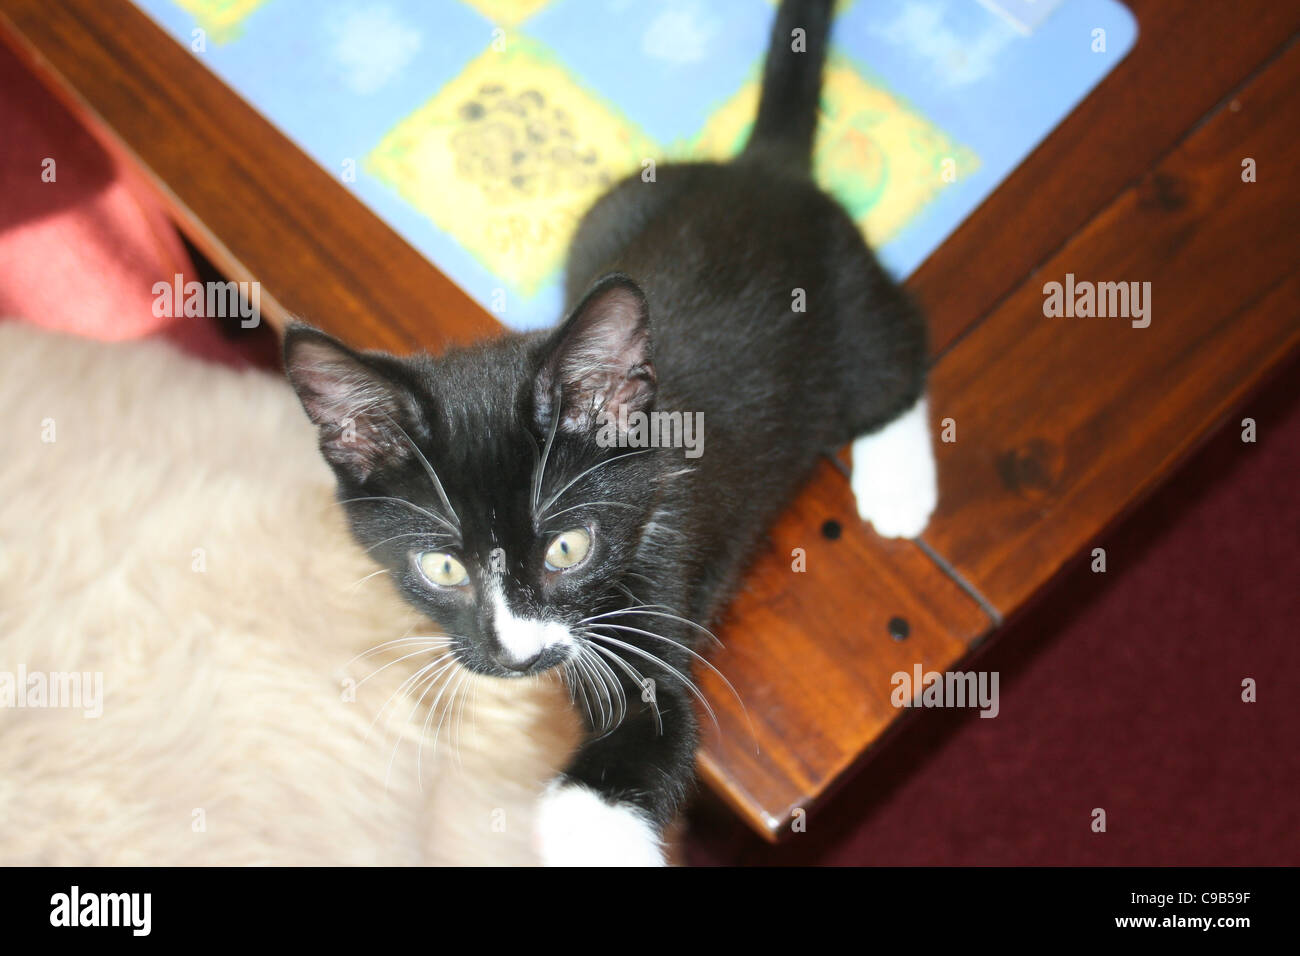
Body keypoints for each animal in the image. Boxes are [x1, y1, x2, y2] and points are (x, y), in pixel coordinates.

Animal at [284, 0, 935, 868]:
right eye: (442, 568)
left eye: (568, 548)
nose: (517, 655)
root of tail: (766, 171)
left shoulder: (663, 572)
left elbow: (651, 729)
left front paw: (589, 833)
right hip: (608, 213)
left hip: (847, 302)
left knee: (895, 353)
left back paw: (898, 481)